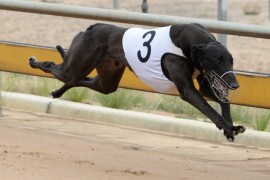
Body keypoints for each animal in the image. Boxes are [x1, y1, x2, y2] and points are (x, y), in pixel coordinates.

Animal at [28, 22, 246, 141]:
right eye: (217, 60)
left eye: (231, 60)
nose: (235, 85)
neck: (193, 43)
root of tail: (93, 27)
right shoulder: (187, 89)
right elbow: (208, 109)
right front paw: (229, 128)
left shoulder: (207, 84)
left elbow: (223, 102)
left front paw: (229, 127)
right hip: (76, 65)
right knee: (54, 67)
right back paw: (34, 61)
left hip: (106, 80)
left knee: (84, 81)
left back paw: (57, 92)